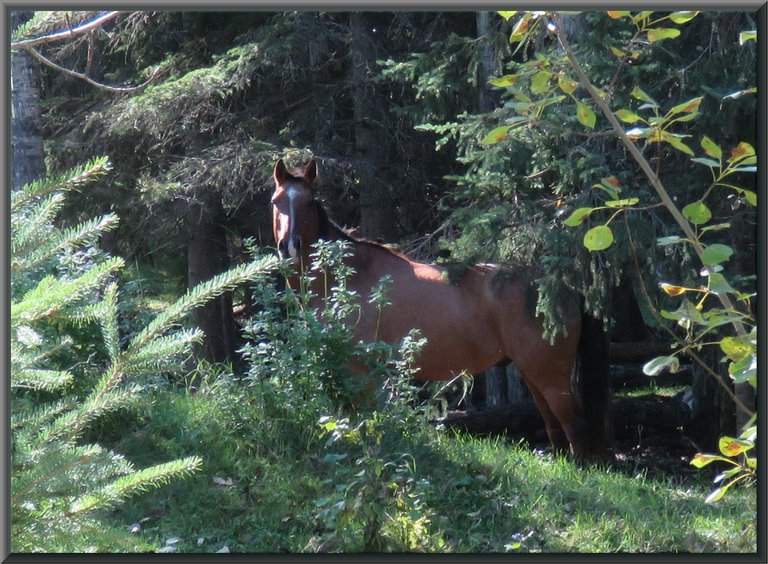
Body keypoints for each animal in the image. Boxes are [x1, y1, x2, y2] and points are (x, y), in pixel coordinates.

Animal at [270, 158, 612, 458]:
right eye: (276, 202)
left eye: (309, 203)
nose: (289, 246)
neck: (349, 275)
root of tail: (562, 287)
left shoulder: (360, 369)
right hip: (532, 373)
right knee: (554, 427)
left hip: (550, 376)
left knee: (574, 426)